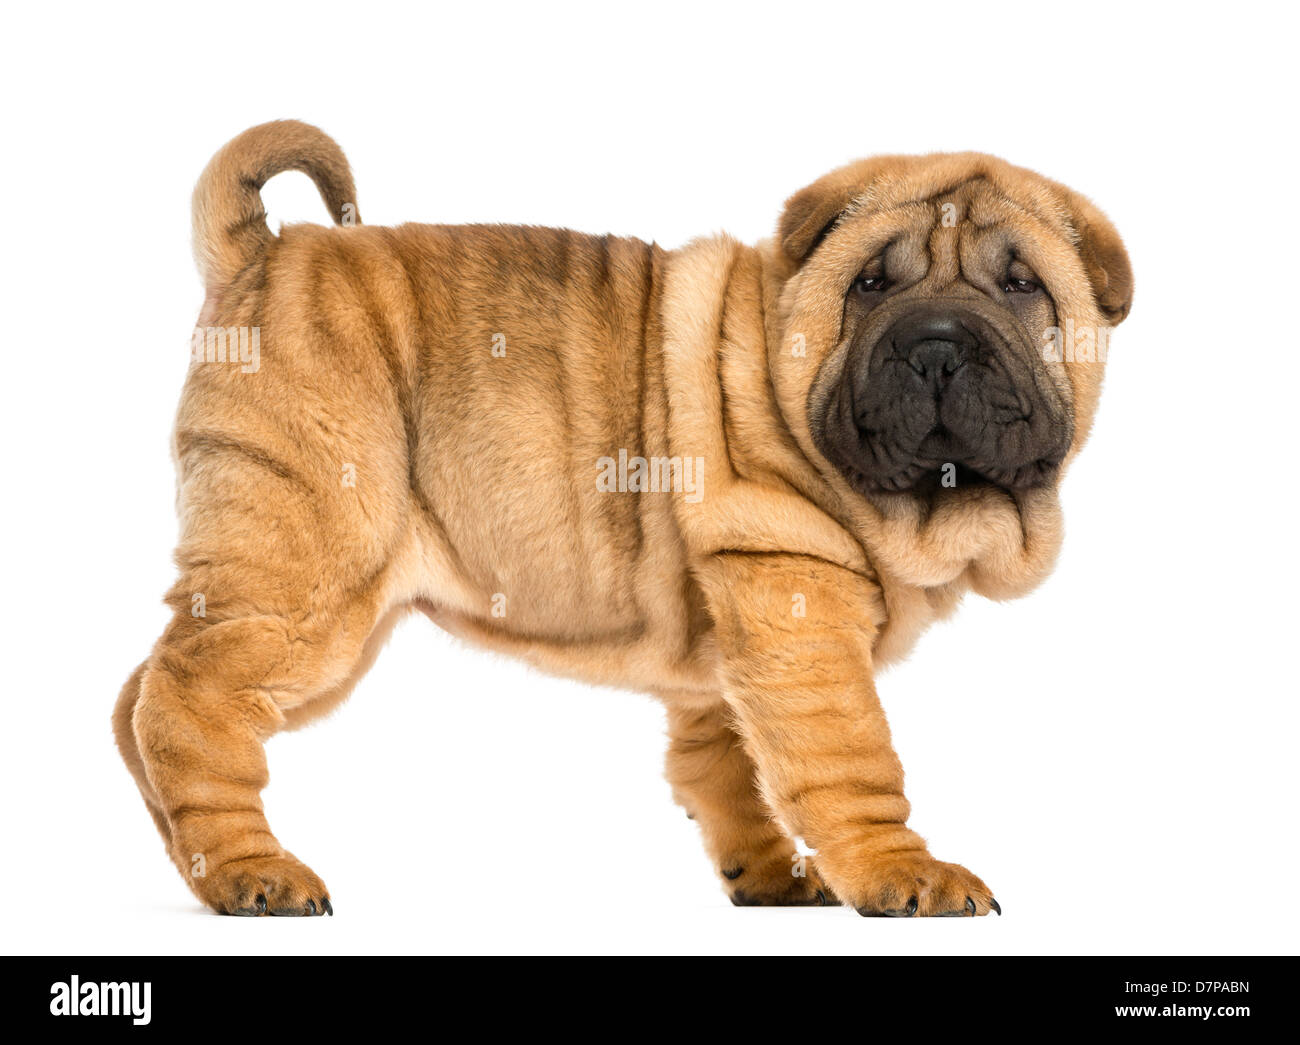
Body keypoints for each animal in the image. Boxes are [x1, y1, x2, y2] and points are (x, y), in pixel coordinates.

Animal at [114, 120, 1128, 915]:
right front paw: (903, 875)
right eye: (871, 286)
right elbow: (852, 762)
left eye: (1023, 287)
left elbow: (724, 759)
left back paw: (195, 864)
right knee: (188, 701)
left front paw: (766, 872)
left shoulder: (732, 638)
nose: (937, 346)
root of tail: (269, 250)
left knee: (141, 697)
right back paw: (254, 874)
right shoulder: (797, 606)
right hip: (312, 572)